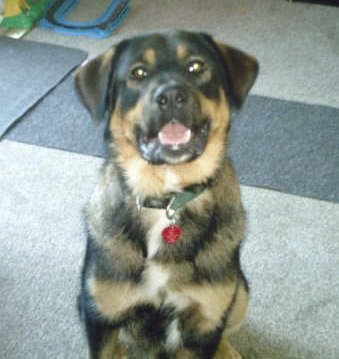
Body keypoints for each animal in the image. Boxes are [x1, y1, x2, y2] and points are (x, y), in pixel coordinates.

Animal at [75, 29, 258, 358]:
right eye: (137, 73)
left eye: (196, 66)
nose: (171, 96)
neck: (167, 197)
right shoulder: (101, 315)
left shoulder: (205, 321)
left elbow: (212, 329)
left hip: (241, 293)